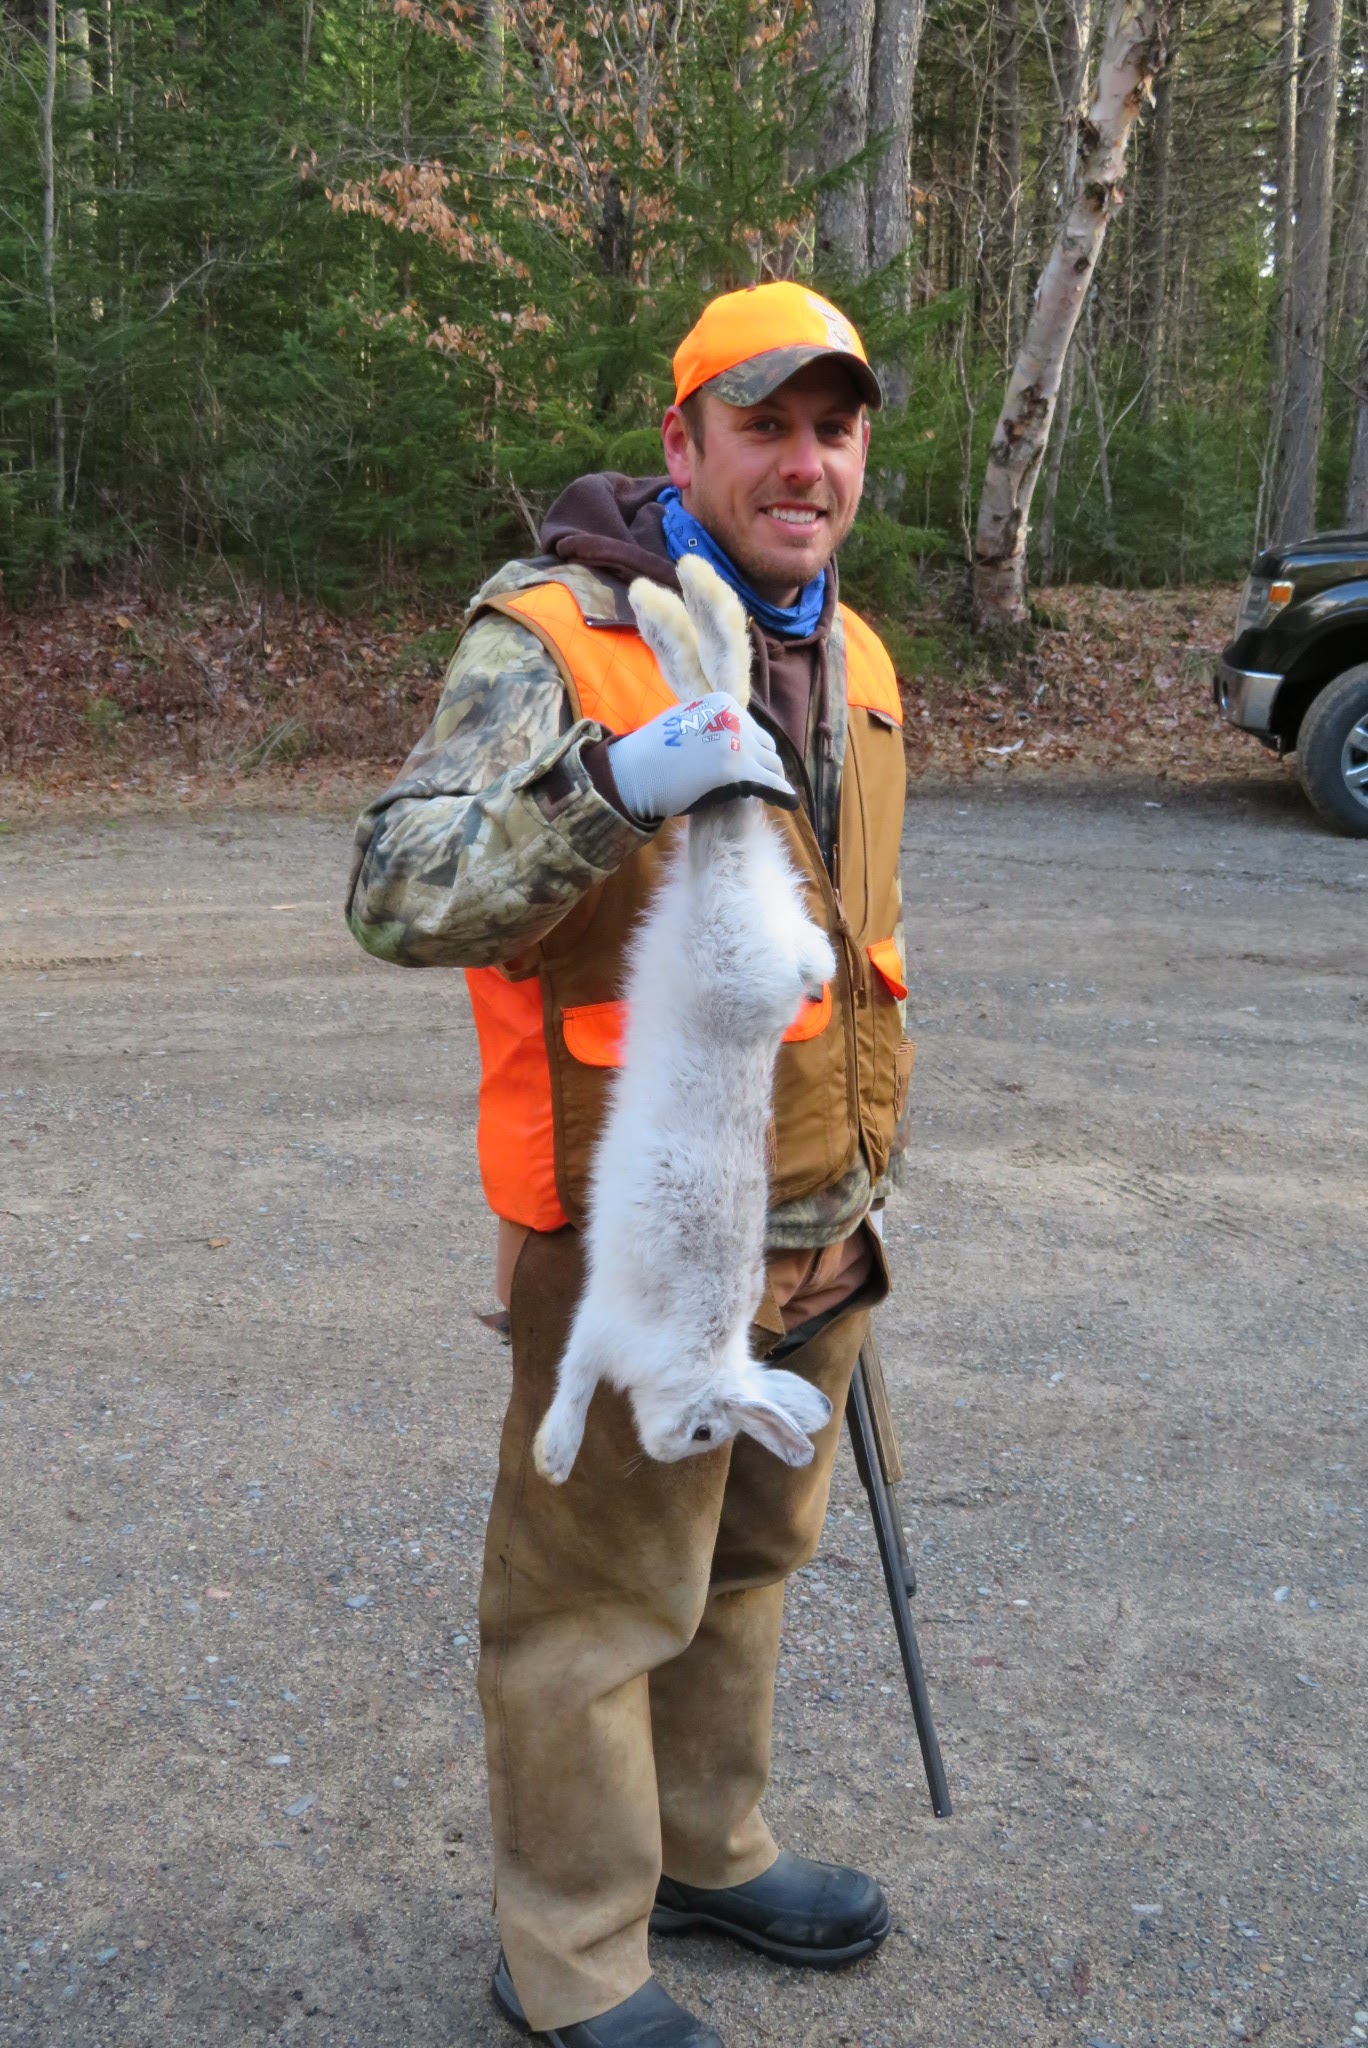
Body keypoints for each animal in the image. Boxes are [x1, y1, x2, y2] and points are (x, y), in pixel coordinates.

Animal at [532, 555, 838, 1485]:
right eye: (709, 1433)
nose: (669, 1451)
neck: (699, 1353)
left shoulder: (603, 1326)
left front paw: (553, 1457)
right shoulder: (598, 1331)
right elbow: (571, 1378)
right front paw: (554, 1456)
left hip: (756, 920)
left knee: (714, 688)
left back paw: (673, 602)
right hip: (739, 939)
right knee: (724, 682)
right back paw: (684, 598)